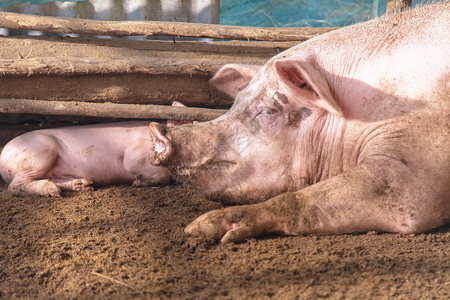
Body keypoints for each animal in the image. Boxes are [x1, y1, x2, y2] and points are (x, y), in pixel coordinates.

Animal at [0, 103, 190, 197]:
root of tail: (3, 156)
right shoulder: (134, 154)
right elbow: (161, 175)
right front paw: (137, 183)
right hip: (39, 154)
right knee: (15, 186)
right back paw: (52, 191)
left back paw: (82, 185)